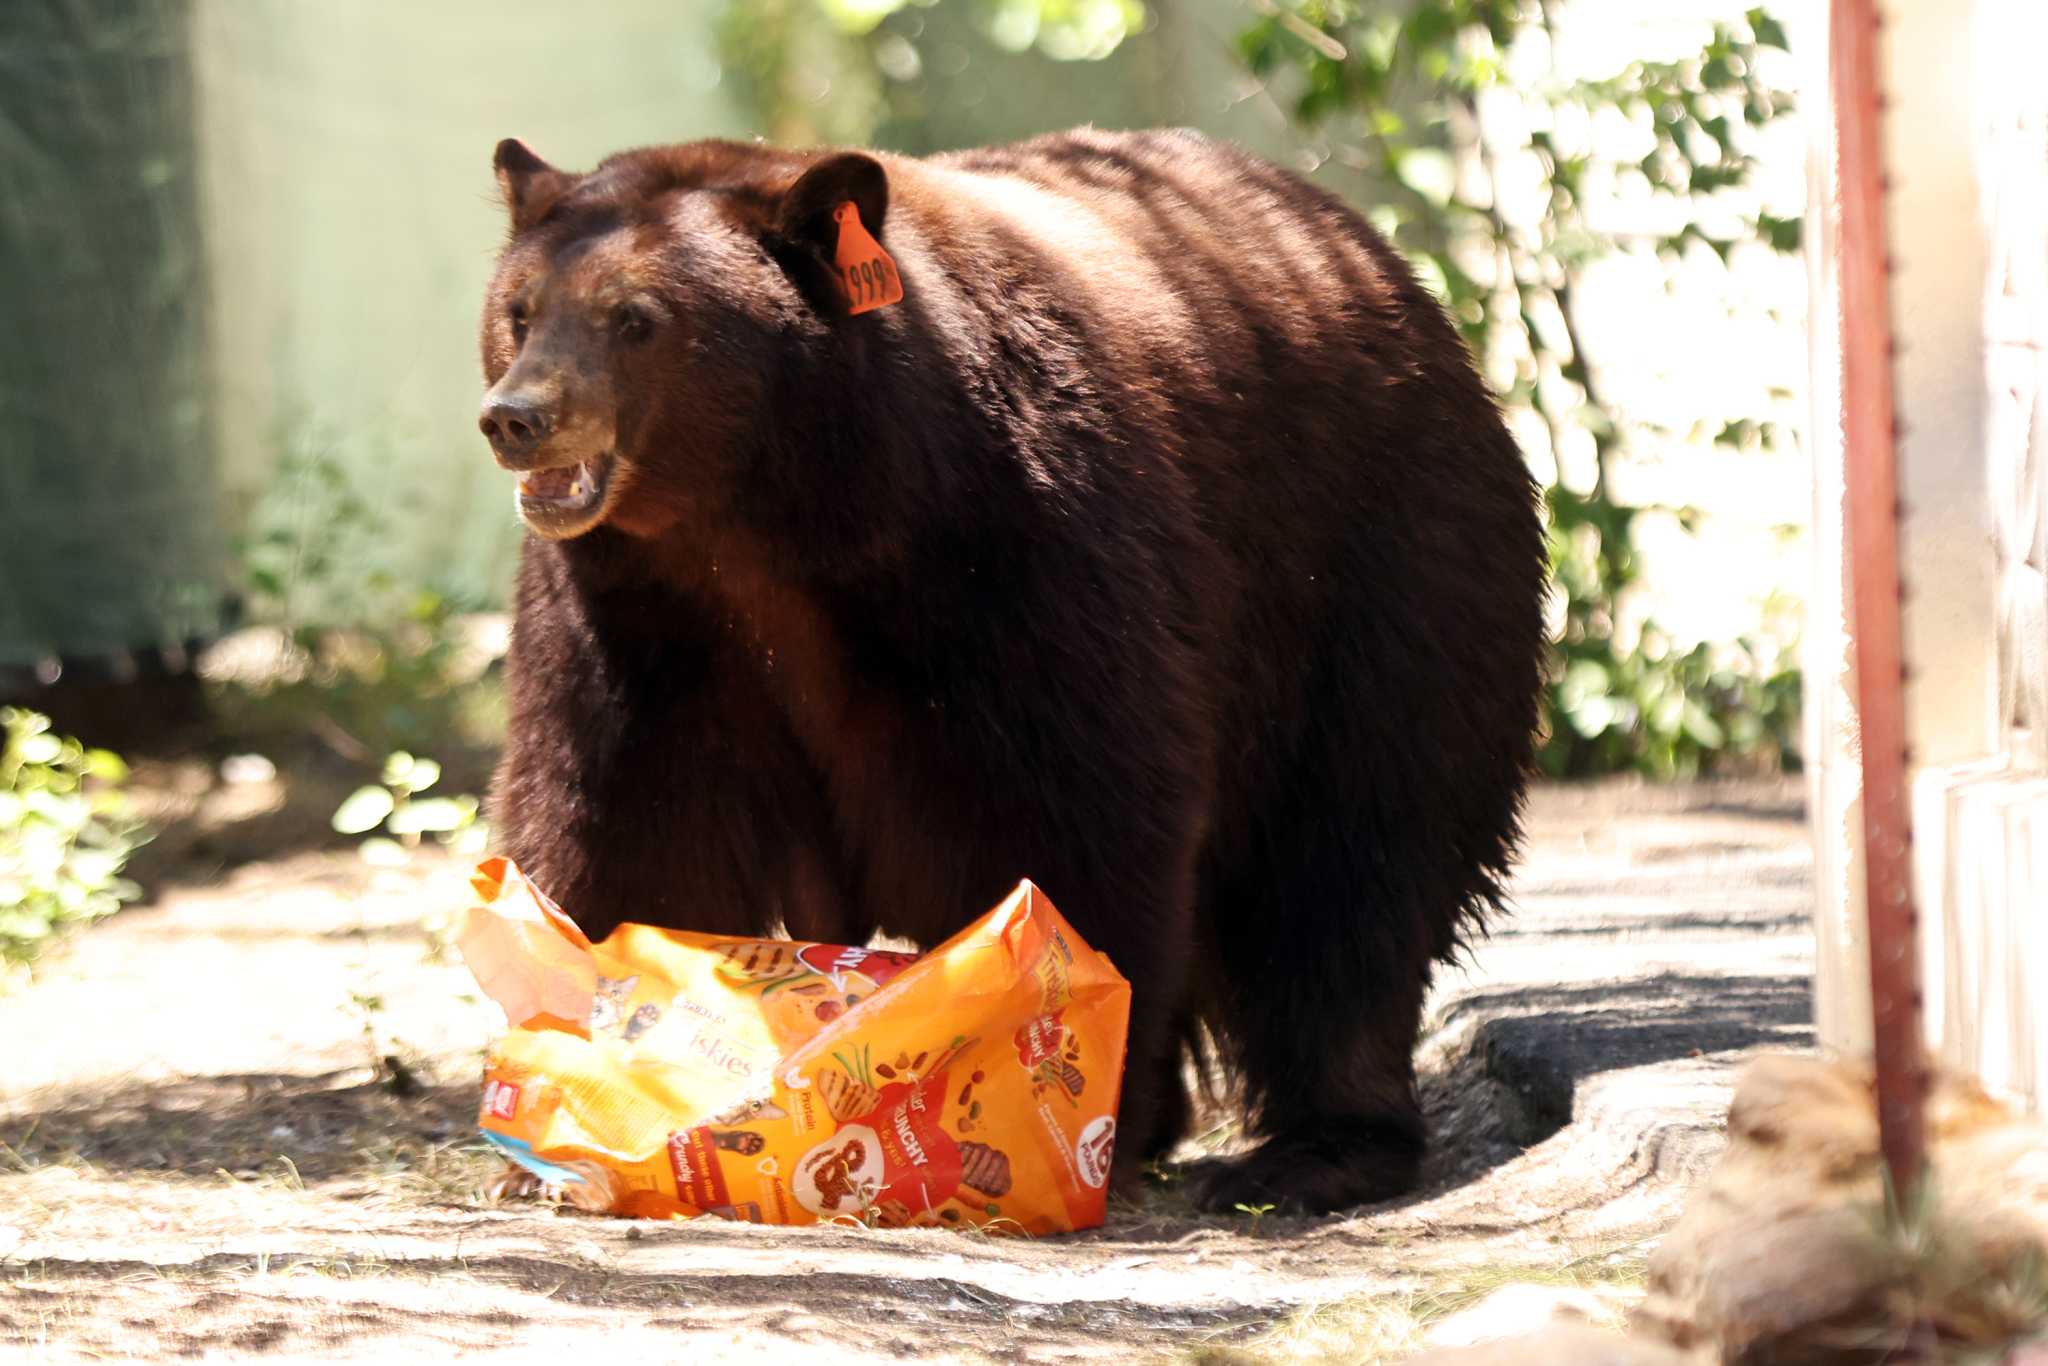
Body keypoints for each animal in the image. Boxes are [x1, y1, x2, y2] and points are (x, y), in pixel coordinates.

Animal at [478, 127, 1547, 1215]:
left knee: (1352, 857)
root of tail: (1372, 255)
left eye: (634, 317)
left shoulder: (1000, 547)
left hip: (1375, 570)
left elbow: (1065, 807)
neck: (767, 520)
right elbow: (629, 819)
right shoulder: (631, 617)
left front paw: (1072, 1086)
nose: (516, 415)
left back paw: (1318, 1147)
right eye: (519, 309)